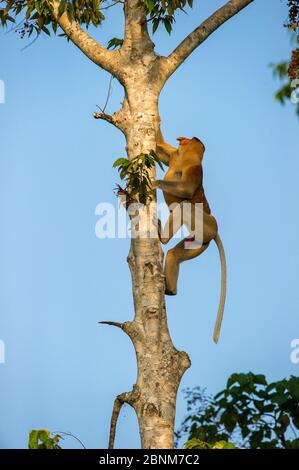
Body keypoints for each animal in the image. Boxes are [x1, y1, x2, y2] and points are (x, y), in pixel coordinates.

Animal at [152, 130, 227, 344]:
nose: (182, 138)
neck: (186, 157)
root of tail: (215, 230)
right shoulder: (174, 156)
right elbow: (160, 147)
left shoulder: (195, 169)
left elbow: (186, 189)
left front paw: (155, 182)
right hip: (198, 242)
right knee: (174, 255)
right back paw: (170, 290)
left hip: (203, 224)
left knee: (184, 205)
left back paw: (162, 237)